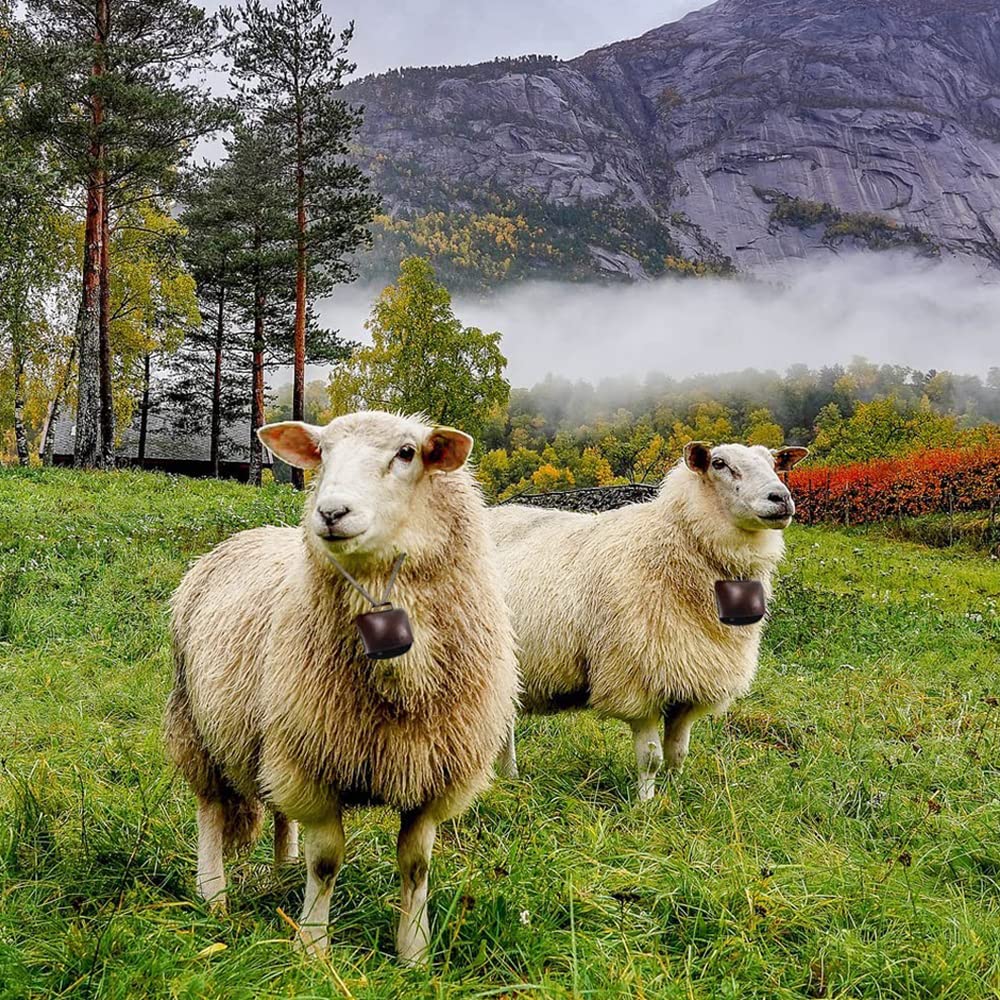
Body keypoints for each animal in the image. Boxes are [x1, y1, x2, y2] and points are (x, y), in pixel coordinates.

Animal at [164, 411, 518, 964]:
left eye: (407, 453)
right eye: (323, 453)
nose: (330, 512)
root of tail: (240, 538)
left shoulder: (432, 774)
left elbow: (416, 866)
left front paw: (414, 953)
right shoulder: (313, 767)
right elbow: (326, 862)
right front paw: (312, 947)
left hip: (273, 733)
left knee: (276, 811)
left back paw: (281, 869)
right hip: (197, 726)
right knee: (211, 810)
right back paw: (213, 895)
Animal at [488, 442, 808, 801]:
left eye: (774, 463)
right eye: (719, 463)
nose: (780, 498)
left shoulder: (691, 682)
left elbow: (678, 750)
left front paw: (676, 793)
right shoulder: (637, 681)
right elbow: (651, 756)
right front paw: (646, 802)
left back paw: (510, 775)